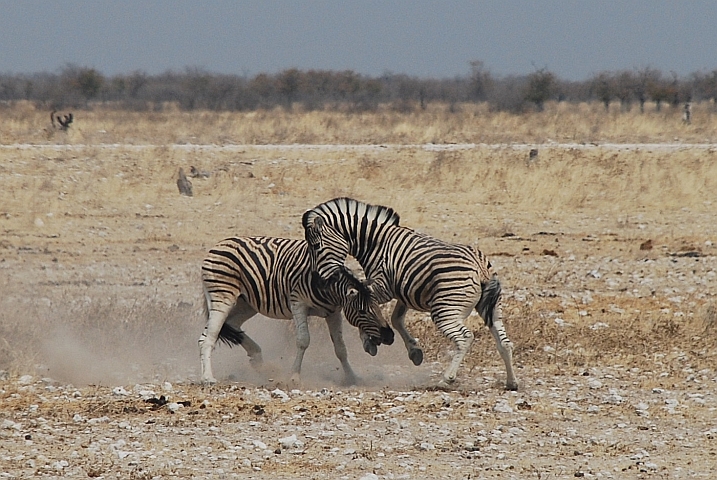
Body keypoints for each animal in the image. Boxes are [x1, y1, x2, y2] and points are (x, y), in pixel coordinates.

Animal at [199, 235, 394, 386]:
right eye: (362, 312)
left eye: (377, 307)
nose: (389, 337)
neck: (327, 284)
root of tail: (218, 245)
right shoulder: (298, 303)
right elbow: (303, 341)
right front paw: (294, 378)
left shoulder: (333, 312)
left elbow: (340, 348)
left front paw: (352, 377)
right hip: (223, 296)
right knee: (209, 337)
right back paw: (208, 378)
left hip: (247, 304)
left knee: (230, 325)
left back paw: (257, 358)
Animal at [302, 197, 518, 391]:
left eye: (316, 246)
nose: (318, 282)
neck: (375, 244)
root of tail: (479, 265)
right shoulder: (403, 292)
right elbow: (396, 319)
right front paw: (414, 351)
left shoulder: (382, 287)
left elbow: (364, 307)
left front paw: (368, 342)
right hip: (491, 307)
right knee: (504, 342)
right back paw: (511, 382)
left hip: (445, 310)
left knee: (464, 338)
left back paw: (446, 379)